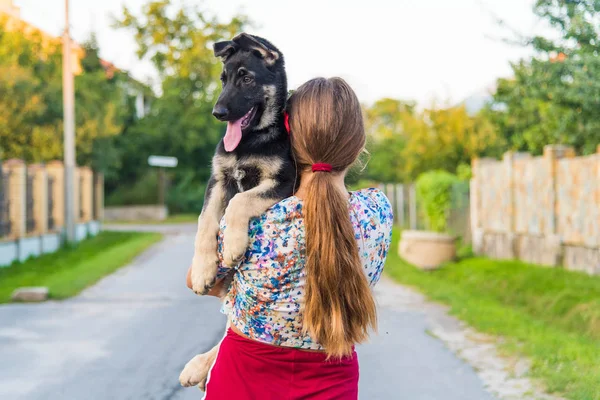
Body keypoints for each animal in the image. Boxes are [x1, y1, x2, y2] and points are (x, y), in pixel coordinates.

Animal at [182, 32, 296, 390]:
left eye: (247, 78)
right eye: (223, 79)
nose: (218, 112)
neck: (249, 142)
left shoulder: (283, 182)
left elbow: (238, 203)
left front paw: (233, 245)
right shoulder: (218, 180)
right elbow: (206, 220)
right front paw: (203, 269)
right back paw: (197, 366)